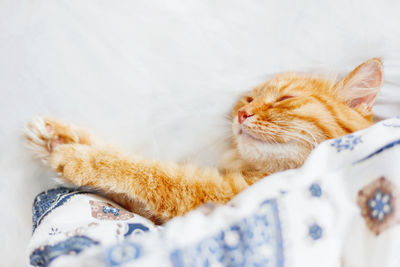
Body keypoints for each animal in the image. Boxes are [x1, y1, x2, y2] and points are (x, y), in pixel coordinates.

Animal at [25, 58, 384, 224]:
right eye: (248, 100)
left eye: (286, 98)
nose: (242, 115)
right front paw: (58, 138)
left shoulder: (213, 195)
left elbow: (144, 172)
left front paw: (74, 156)